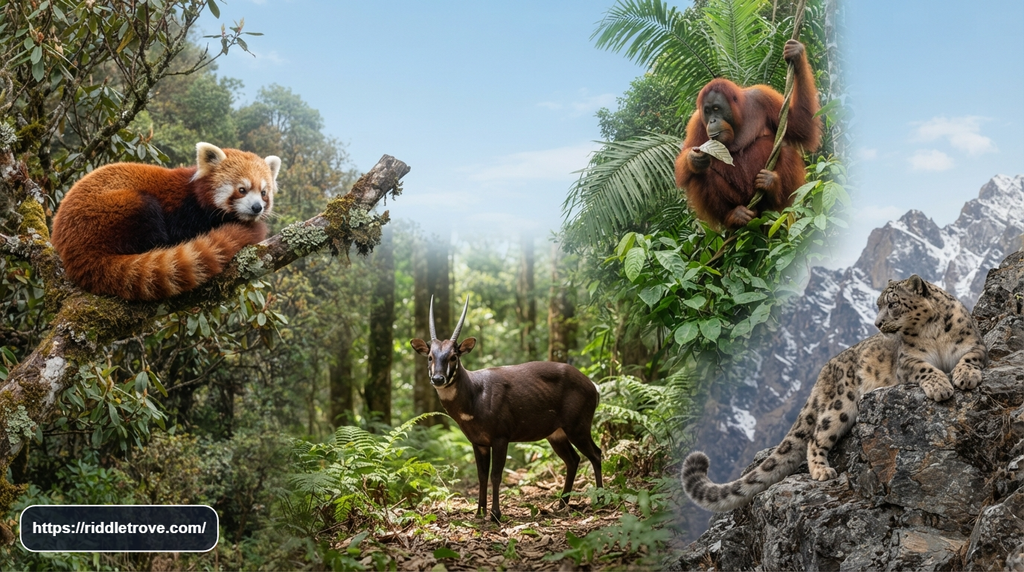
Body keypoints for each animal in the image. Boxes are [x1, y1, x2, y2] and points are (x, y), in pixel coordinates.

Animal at [681, 274, 989, 512]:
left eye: (892, 304)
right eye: (878, 305)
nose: (877, 324)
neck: (933, 331)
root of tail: (824, 371)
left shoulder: (974, 344)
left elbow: (969, 358)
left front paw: (965, 376)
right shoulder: (908, 361)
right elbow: (927, 369)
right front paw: (941, 386)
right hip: (840, 405)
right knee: (815, 438)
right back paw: (821, 470)